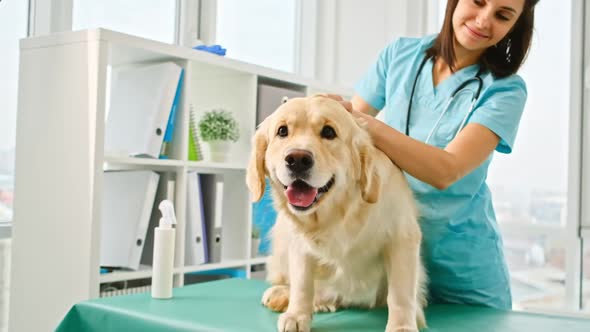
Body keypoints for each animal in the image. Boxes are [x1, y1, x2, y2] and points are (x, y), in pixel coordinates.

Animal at [247, 94, 428, 330]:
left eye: (329, 132)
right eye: (282, 131)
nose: (297, 159)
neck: (338, 212)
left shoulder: (402, 237)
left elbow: (400, 293)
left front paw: (402, 326)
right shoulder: (299, 244)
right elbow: (302, 283)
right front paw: (297, 315)